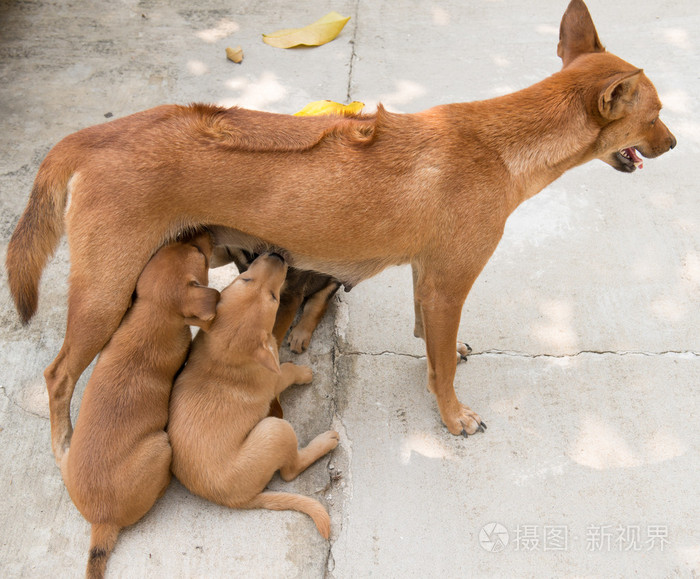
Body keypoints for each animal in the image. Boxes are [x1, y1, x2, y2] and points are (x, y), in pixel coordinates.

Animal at [2, 0, 676, 456]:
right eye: (657, 114)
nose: (673, 144)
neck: (502, 145)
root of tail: (94, 135)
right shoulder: (450, 281)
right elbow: (441, 368)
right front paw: (453, 416)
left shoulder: (429, 275)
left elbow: (428, 334)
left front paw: (438, 348)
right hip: (105, 293)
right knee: (57, 376)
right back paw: (64, 442)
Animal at [165, 253, 338, 540]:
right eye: (275, 298)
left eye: (244, 278)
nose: (277, 255)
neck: (224, 357)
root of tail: (239, 501)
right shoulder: (275, 379)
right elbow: (287, 371)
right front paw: (303, 373)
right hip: (275, 429)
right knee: (290, 470)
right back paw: (326, 440)